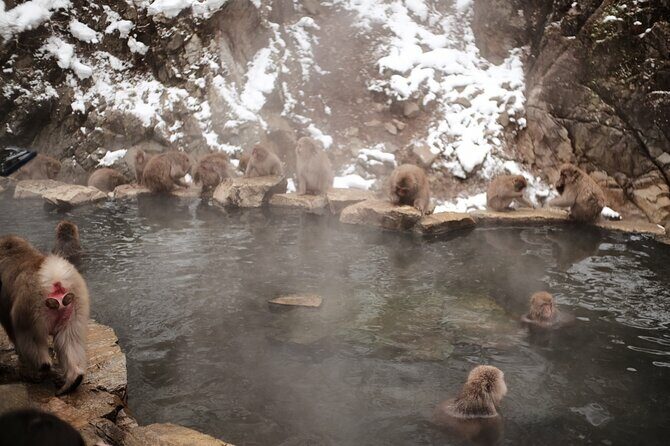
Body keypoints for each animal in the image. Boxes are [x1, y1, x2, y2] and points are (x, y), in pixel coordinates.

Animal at [0, 235, 90, 395]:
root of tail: (56, 282)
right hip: (75, 303)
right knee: (70, 339)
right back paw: (73, 379)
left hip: (30, 310)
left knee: (30, 339)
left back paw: (42, 365)